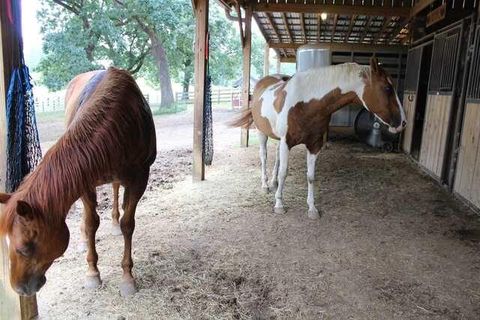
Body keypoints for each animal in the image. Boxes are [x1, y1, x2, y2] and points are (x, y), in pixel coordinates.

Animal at [0, 67, 156, 298]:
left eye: (25, 248)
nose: (19, 288)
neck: (121, 124)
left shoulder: (139, 180)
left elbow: (128, 225)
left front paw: (127, 277)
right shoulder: (84, 182)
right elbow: (91, 223)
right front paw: (92, 273)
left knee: (116, 190)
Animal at [232, 57, 404, 219]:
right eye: (387, 88)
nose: (403, 122)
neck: (306, 104)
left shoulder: (314, 145)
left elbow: (310, 176)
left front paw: (312, 208)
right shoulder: (287, 142)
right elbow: (284, 173)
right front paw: (279, 204)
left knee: (276, 159)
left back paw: (273, 182)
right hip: (262, 132)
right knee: (264, 156)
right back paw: (265, 185)